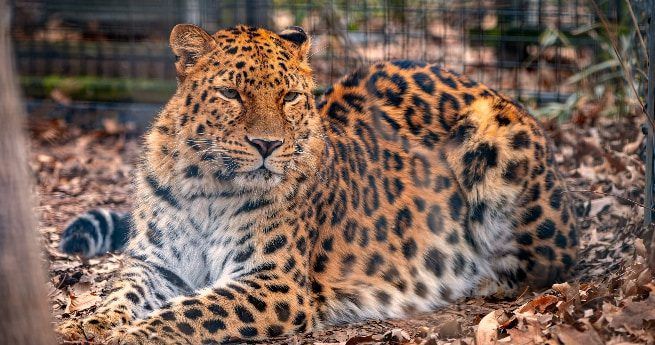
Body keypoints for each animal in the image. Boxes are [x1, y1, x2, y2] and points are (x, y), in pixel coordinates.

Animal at [57, 22, 580, 342]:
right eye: (230, 93)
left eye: (289, 97)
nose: (266, 145)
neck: (208, 185)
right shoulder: (157, 265)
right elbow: (121, 291)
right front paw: (92, 324)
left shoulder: (275, 282)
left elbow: (191, 311)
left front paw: (131, 335)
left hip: (497, 138)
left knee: (548, 265)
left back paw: (475, 277)